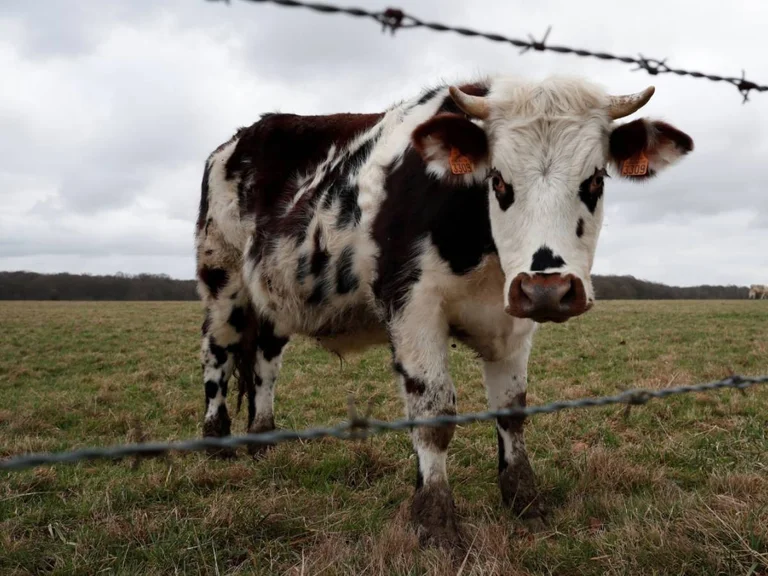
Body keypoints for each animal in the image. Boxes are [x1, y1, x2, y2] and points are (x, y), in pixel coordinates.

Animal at [194, 75, 694, 546]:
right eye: (498, 180)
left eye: (594, 181)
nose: (547, 290)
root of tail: (239, 139)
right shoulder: (412, 309)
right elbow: (434, 416)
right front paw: (435, 521)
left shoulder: (512, 320)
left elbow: (511, 411)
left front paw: (524, 499)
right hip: (222, 279)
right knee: (217, 352)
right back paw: (217, 440)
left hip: (274, 300)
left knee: (265, 364)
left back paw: (263, 441)